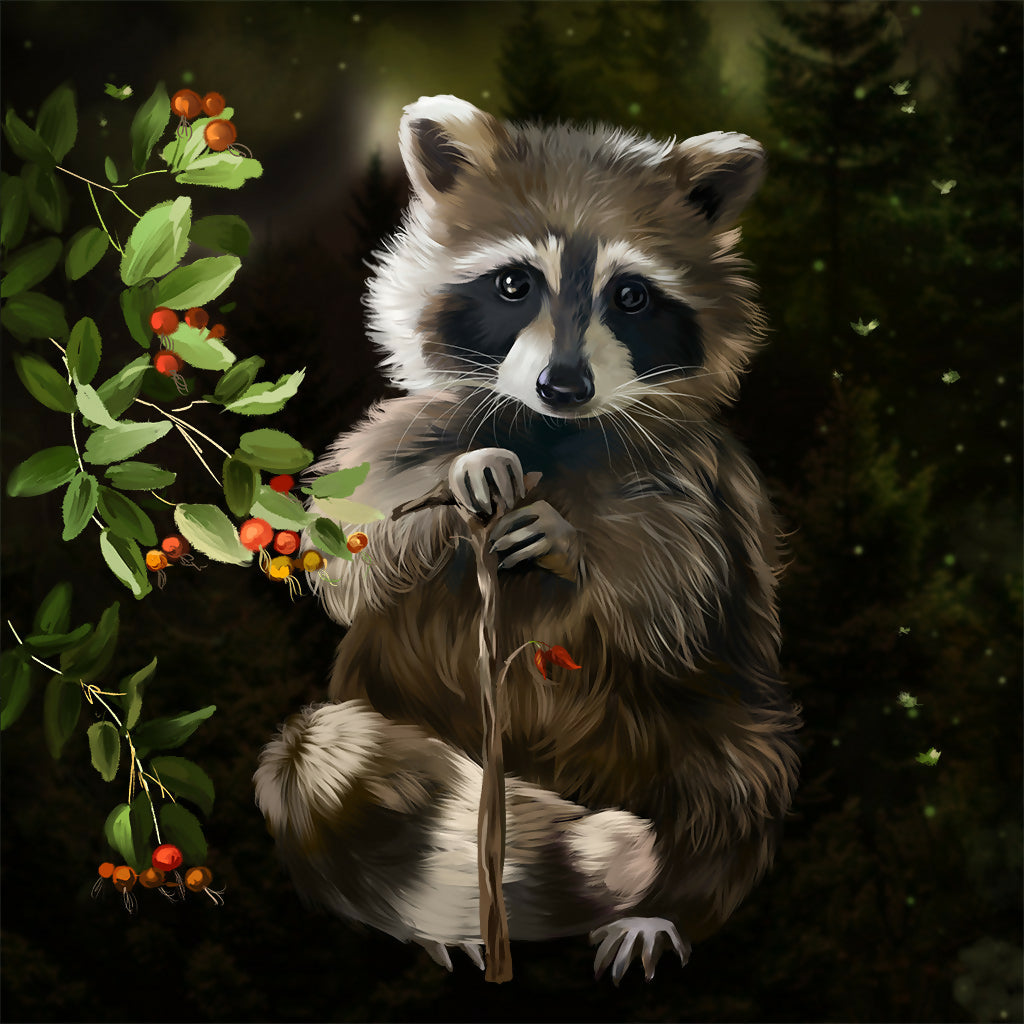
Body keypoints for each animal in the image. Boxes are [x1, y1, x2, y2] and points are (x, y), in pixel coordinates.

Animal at [255, 95, 801, 983]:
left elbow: (681, 593)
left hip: (710, 722)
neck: (553, 432)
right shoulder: (407, 432)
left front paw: (572, 541)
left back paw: (668, 900)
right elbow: (346, 541)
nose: (564, 385)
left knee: (731, 775)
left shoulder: (703, 484)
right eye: (514, 284)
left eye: (631, 296)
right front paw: (460, 477)